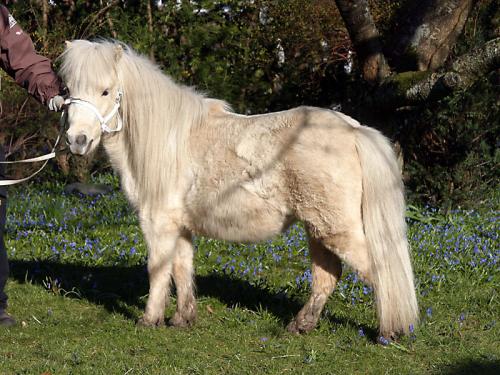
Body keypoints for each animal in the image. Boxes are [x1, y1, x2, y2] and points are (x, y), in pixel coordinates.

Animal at [58, 39, 418, 340]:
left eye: (106, 91)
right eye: (69, 89)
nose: (77, 141)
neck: (169, 139)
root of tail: (354, 130)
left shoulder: (157, 223)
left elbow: (158, 270)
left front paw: (150, 320)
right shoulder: (181, 226)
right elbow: (182, 268)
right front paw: (183, 319)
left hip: (336, 230)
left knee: (380, 272)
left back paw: (390, 332)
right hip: (318, 228)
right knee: (327, 276)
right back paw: (301, 325)